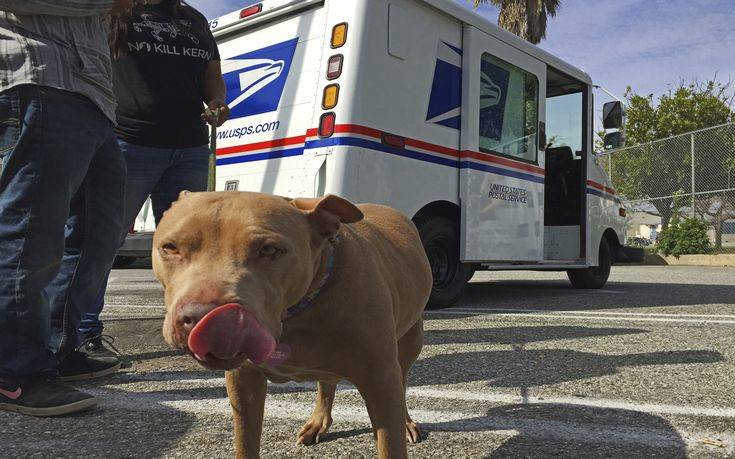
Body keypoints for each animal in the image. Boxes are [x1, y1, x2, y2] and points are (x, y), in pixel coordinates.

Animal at [152, 191, 434, 459]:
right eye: (169, 248)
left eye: (269, 250)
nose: (203, 316)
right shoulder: (244, 383)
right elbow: (245, 443)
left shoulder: (380, 382)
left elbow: (390, 444)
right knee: (326, 382)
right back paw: (318, 421)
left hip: (408, 343)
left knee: (402, 381)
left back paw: (406, 422)